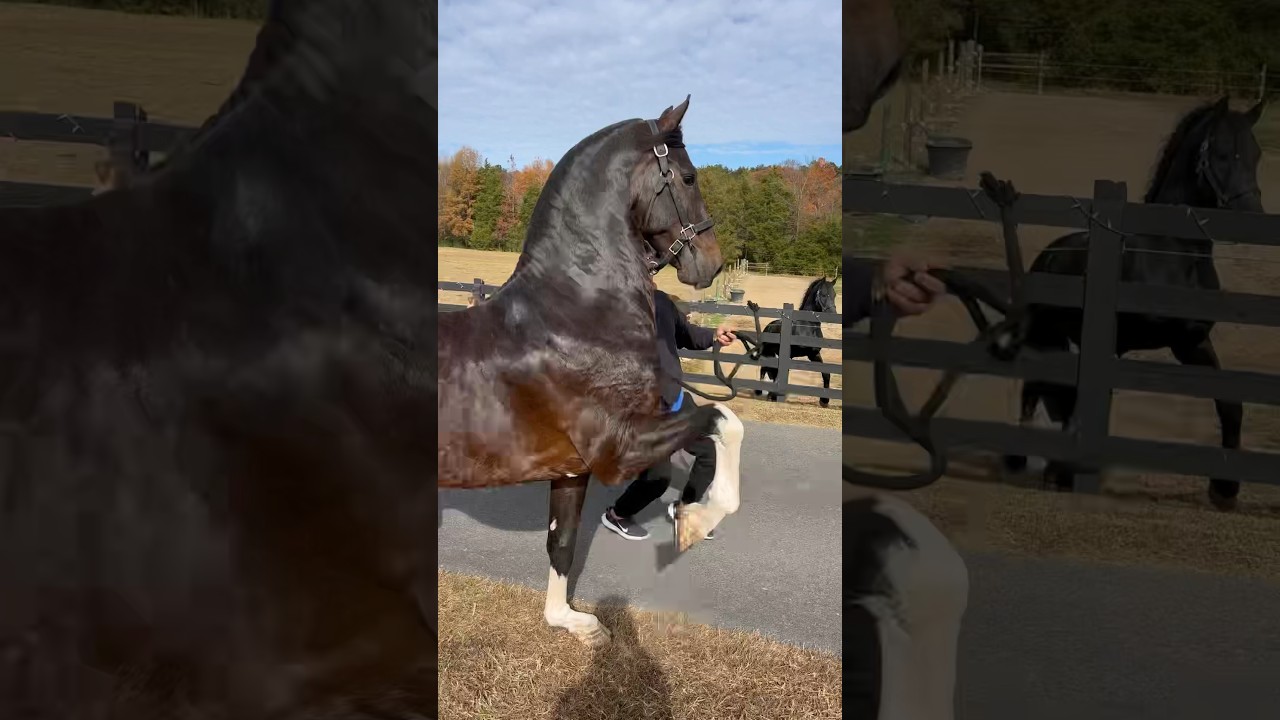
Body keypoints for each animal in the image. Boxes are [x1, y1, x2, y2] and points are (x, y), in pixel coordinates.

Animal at [438, 97, 747, 647]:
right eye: (689, 177)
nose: (711, 264)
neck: (576, 312)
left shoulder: (572, 471)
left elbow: (561, 543)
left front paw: (570, 621)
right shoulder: (618, 450)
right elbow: (724, 420)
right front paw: (694, 521)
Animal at [755, 275, 840, 406]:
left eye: (834, 294)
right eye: (824, 294)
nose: (832, 315)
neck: (807, 327)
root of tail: (768, 326)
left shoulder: (814, 354)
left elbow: (826, 374)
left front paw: (824, 401)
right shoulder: (790, 355)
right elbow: (784, 373)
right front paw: (774, 396)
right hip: (767, 352)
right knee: (764, 369)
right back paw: (762, 392)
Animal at [1004, 96, 1266, 511]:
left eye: (1256, 153)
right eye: (1223, 153)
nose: (1254, 217)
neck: (1170, 254)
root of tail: (1047, 255)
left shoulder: (1190, 343)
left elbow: (1230, 404)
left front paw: (1225, 490)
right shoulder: (1115, 345)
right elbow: (1090, 402)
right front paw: (1064, 474)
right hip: (1045, 336)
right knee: (1033, 389)